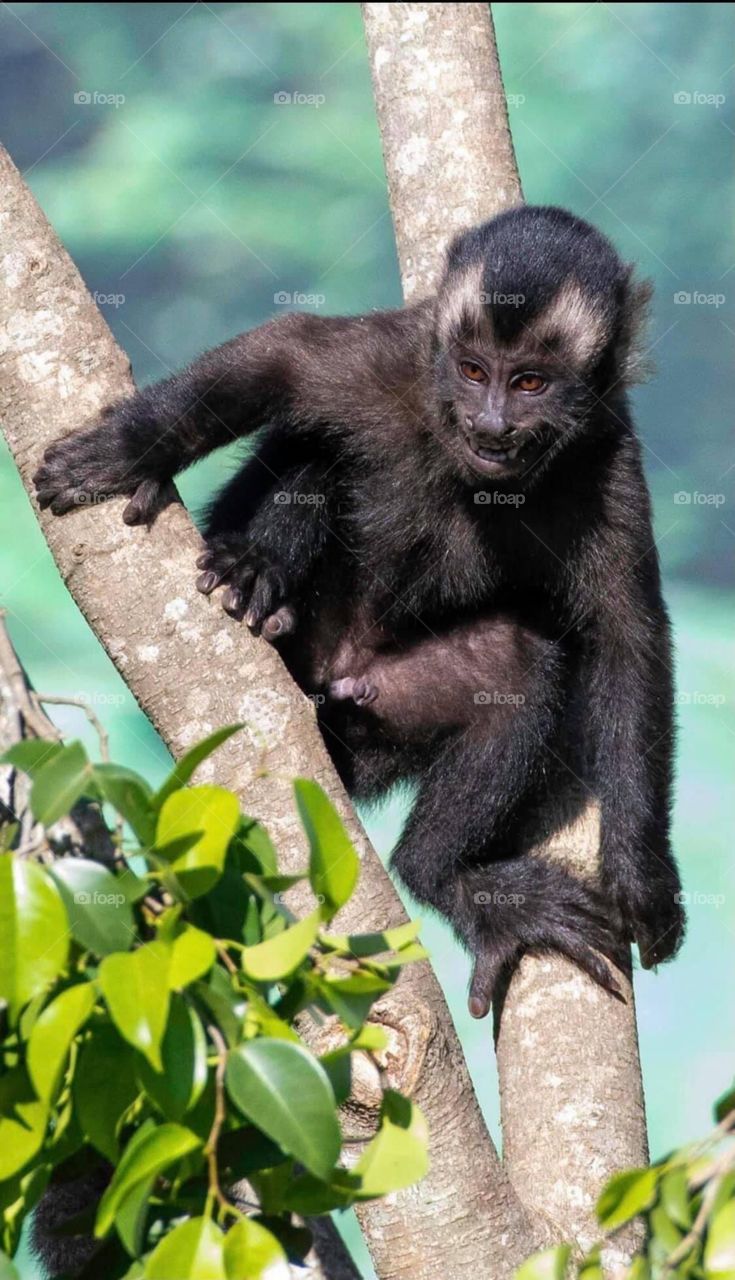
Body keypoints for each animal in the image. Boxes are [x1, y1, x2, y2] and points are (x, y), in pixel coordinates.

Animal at [34, 204, 685, 1024]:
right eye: (473, 372)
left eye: (530, 382)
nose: (491, 425)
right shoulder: (395, 364)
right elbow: (284, 359)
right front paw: (128, 447)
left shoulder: (608, 459)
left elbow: (628, 641)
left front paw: (640, 874)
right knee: (315, 446)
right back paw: (259, 576)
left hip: (375, 712)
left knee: (513, 668)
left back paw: (446, 877)